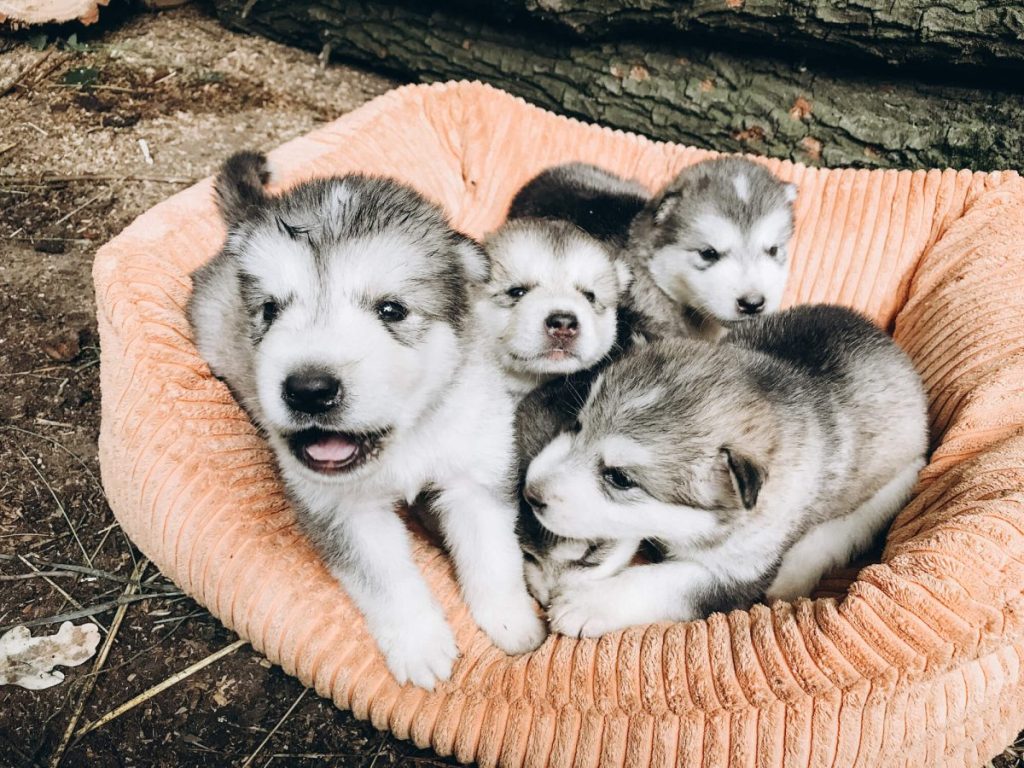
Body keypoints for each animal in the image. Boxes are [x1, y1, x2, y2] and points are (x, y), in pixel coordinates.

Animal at [189, 151, 548, 692]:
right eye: (270, 310)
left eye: (391, 309)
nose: (308, 390)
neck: (404, 441)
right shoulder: (344, 510)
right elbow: (387, 580)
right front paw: (421, 645)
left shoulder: (475, 472)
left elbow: (492, 556)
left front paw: (513, 622)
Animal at [520, 307, 929, 638]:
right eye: (577, 425)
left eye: (620, 478)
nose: (531, 493)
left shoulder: (739, 570)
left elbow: (668, 582)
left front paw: (589, 604)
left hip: (898, 476)